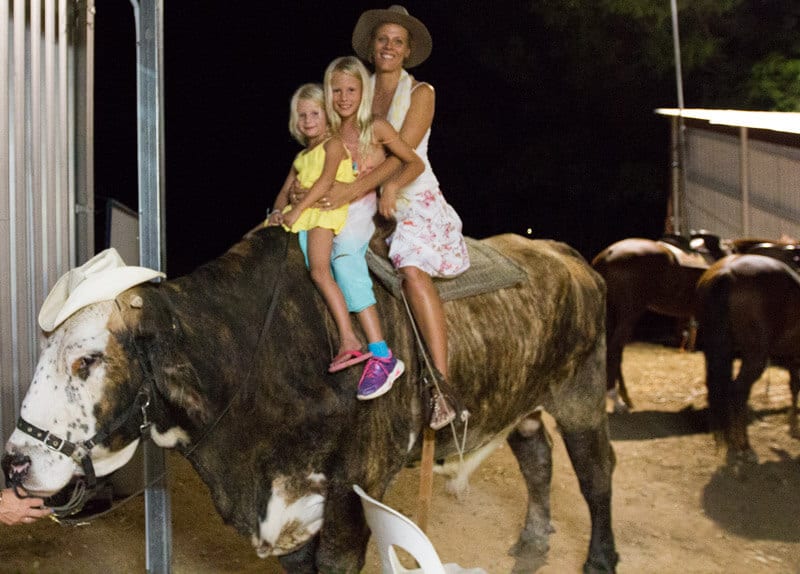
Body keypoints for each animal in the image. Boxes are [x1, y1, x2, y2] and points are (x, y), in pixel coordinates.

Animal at [1, 230, 620, 574]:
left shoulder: (355, 485)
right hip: (527, 401)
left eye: (87, 360)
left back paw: (598, 559)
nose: (15, 463)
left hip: (582, 395)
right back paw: (531, 544)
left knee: (595, 473)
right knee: (537, 457)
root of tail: (562, 253)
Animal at [692, 254, 800, 466]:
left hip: (718, 350)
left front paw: (793, 427)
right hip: (755, 355)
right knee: (739, 391)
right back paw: (744, 446)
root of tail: (726, 271)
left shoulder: (794, 358)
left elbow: (794, 387)